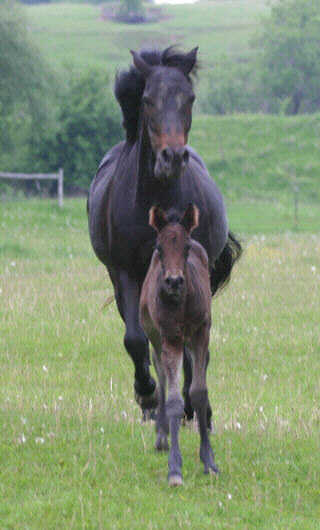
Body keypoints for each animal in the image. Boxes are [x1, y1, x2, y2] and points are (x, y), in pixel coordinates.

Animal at [86, 46, 241, 416]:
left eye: (191, 97)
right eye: (147, 99)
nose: (172, 156)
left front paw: (188, 400)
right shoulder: (125, 273)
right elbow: (135, 337)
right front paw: (147, 394)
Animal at [139, 204, 219, 484]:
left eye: (186, 247)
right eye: (159, 247)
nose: (173, 281)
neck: (180, 303)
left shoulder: (201, 333)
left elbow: (199, 392)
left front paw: (209, 461)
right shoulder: (170, 336)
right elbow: (174, 400)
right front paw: (175, 469)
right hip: (155, 336)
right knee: (161, 376)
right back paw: (162, 435)